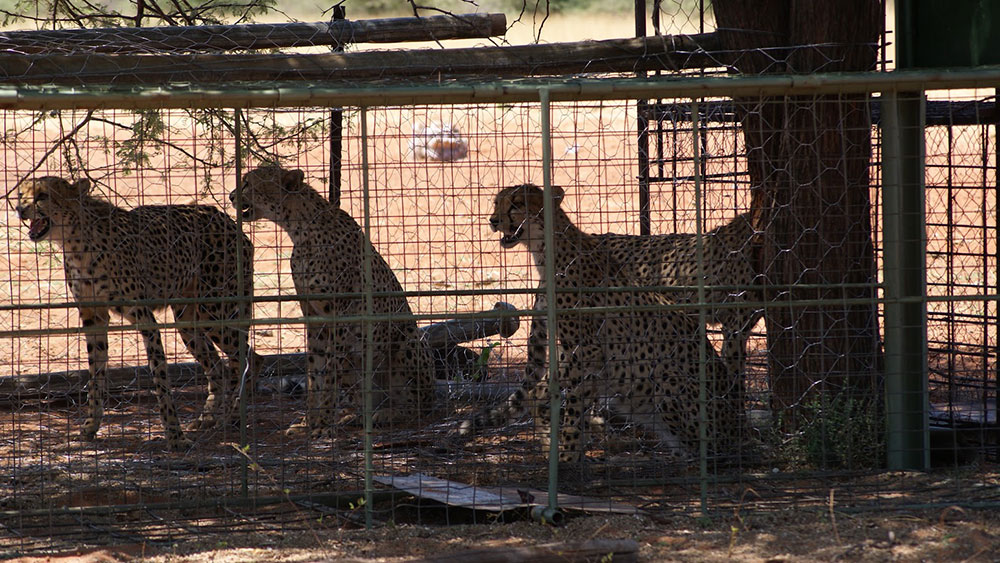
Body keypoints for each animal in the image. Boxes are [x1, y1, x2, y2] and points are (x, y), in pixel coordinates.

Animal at [15, 176, 262, 450]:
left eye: (42, 196)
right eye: (21, 194)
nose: (19, 209)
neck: (75, 240)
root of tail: (226, 219)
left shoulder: (144, 318)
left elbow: (160, 378)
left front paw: (175, 436)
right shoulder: (93, 316)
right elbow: (95, 374)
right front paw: (90, 426)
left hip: (215, 310)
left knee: (248, 359)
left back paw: (232, 416)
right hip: (188, 320)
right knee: (219, 365)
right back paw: (206, 418)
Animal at [229, 163, 436, 436]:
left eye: (247, 183)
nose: (231, 196)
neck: (300, 230)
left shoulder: (339, 317)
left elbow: (328, 376)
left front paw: (323, 425)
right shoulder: (314, 317)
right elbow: (314, 372)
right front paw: (309, 422)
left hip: (407, 342)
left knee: (418, 405)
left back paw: (387, 413)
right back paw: (355, 416)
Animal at [460, 185, 744, 462]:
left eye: (517, 204)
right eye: (497, 203)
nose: (493, 220)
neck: (545, 251)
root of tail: (737, 429)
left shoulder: (587, 353)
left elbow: (569, 406)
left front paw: (568, 456)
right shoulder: (572, 353)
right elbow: (547, 395)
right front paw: (559, 449)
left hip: (667, 379)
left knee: (706, 449)